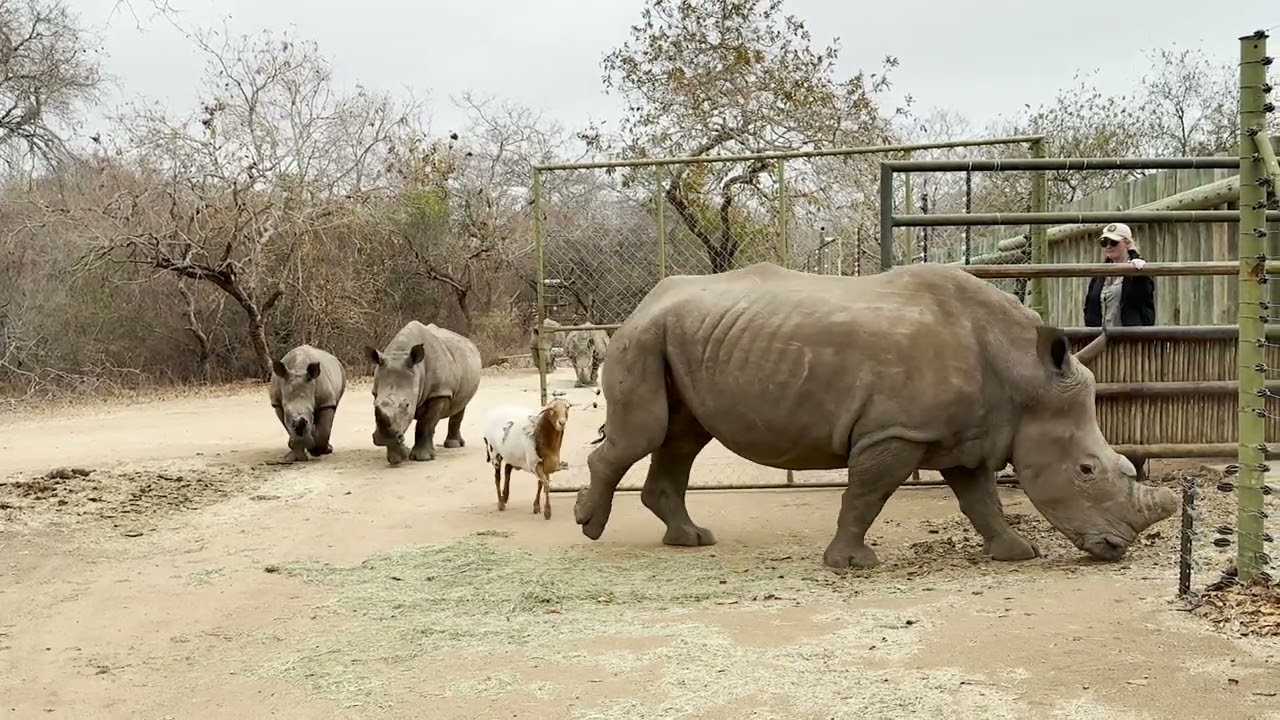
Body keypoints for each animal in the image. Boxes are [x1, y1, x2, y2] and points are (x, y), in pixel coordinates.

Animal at [366, 320, 482, 465]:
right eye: (374, 403)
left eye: (407, 405)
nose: (382, 440)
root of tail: (469, 342)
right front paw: (397, 458)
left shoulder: (439, 393)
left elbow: (426, 424)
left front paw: (422, 458)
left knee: (461, 405)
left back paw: (453, 445)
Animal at [573, 262, 1179, 571]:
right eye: (1086, 470)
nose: (1116, 550)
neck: (1025, 377)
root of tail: (646, 299)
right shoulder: (896, 431)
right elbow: (868, 492)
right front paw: (850, 564)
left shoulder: (967, 434)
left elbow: (980, 499)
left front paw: (1014, 554)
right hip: (642, 336)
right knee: (647, 432)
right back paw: (590, 525)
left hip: (685, 337)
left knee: (683, 436)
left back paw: (692, 540)